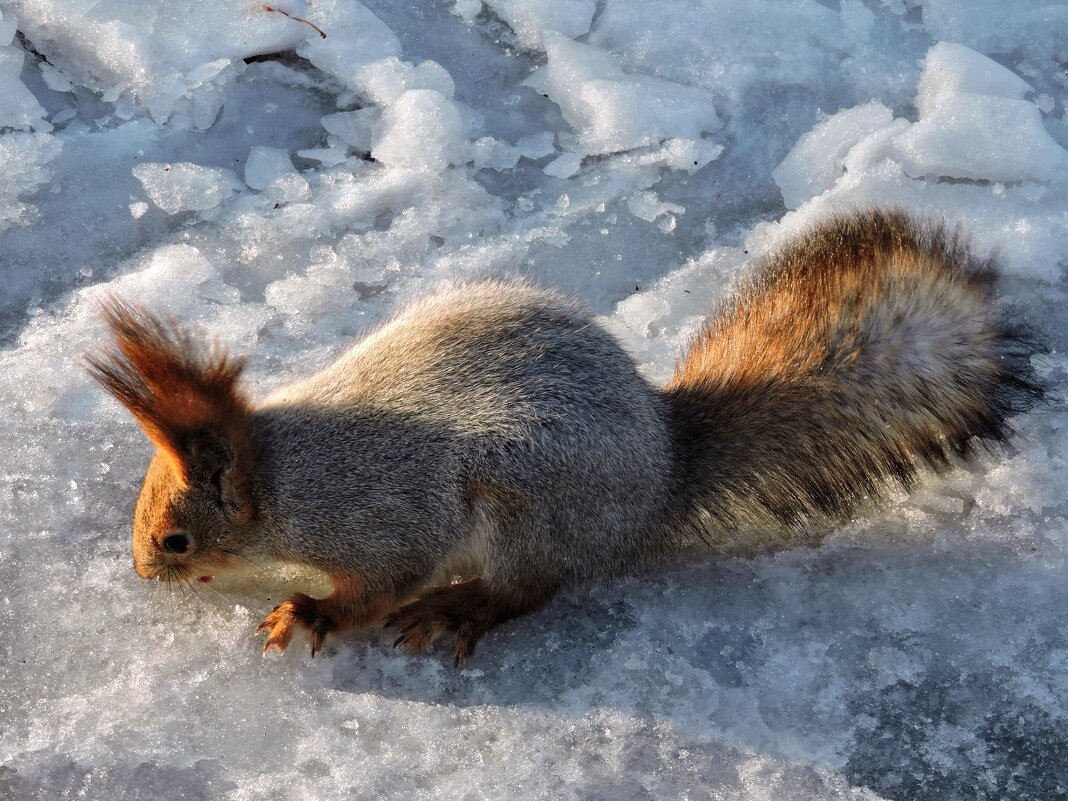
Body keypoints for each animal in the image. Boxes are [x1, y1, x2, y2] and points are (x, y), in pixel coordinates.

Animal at [91, 208, 1042, 666]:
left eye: (175, 538)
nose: (141, 572)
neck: (286, 478)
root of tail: (664, 466)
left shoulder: (384, 515)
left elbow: (385, 579)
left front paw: (311, 611)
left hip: (528, 508)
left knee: (530, 588)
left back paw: (462, 605)